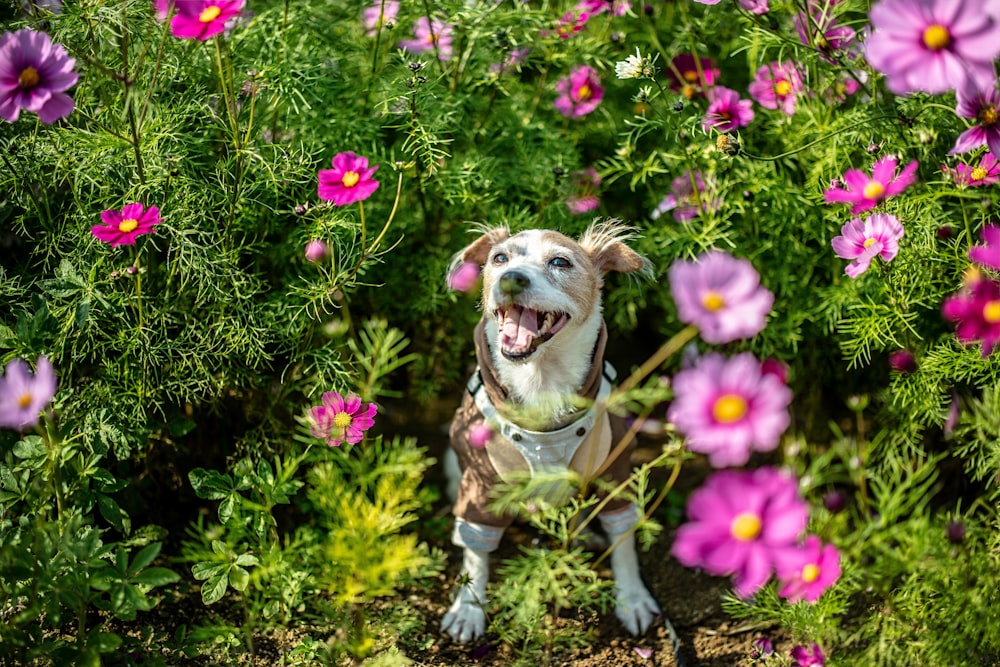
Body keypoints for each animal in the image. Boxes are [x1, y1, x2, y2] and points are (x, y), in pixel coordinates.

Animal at [440, 222, 660, 644]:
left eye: (560, 262)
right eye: (500, 258)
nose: (511, 278)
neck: (541, 385)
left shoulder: (615, 473)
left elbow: (623, 541)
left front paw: (632, 598)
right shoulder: (480, 485)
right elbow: (475, 552)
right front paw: (468, 608)